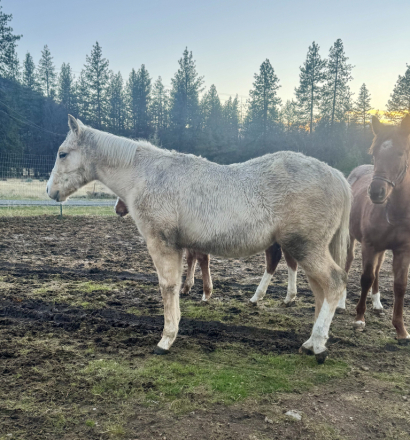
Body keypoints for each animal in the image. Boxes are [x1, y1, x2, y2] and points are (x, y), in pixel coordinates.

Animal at [348, 114, 410, 344]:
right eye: (374, 153)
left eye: (400, 152)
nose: (376, 192)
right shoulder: (369, 245)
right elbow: (365, 278)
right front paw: (359, 319)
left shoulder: (402, 251)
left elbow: (400, 285)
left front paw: (401, 329)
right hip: (350, 238)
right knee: (348, 262)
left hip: (382, 250)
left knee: (377, 271)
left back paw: (377, 303)